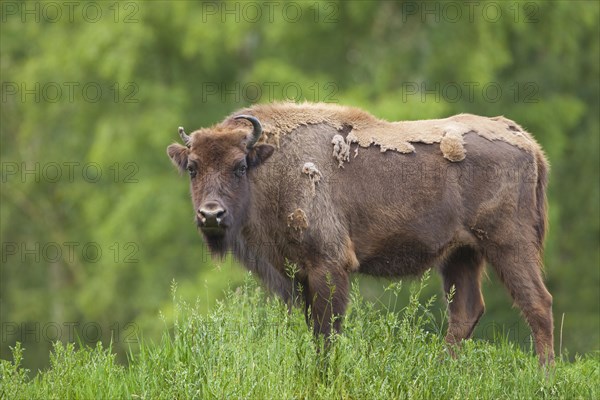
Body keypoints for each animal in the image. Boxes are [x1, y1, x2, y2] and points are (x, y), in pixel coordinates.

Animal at [168, 101, 552, 364]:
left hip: (508, 244)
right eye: (193, 168)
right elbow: (313, 329)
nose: (211, 214)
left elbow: (328, 331)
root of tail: (527, 142)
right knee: (465, 312)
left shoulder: (328, 265)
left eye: (239, 166)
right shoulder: (297, 276)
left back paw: (543, 376)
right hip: (461, 254)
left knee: (537, 303)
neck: (273, 164)